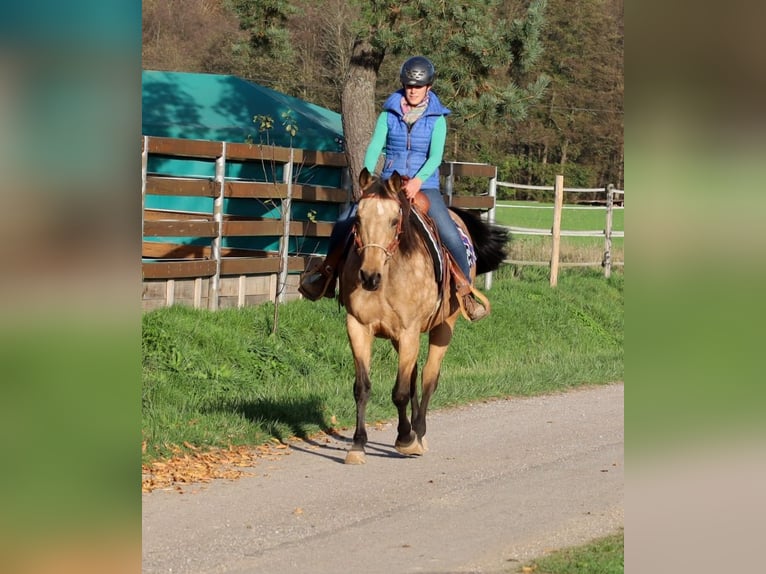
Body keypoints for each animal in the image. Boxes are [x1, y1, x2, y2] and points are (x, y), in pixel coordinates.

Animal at [340, 169, 510, 466]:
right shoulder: (358, 328)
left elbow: (400, 392)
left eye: (394, 220)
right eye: (358, 219)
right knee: (414, 376)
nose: (369, 276)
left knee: (429, 377)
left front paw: (406, 440)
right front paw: (358, 444)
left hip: (443, 328)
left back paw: (418, 433)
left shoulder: (409, 331)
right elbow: (362, 387)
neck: (388, 275)